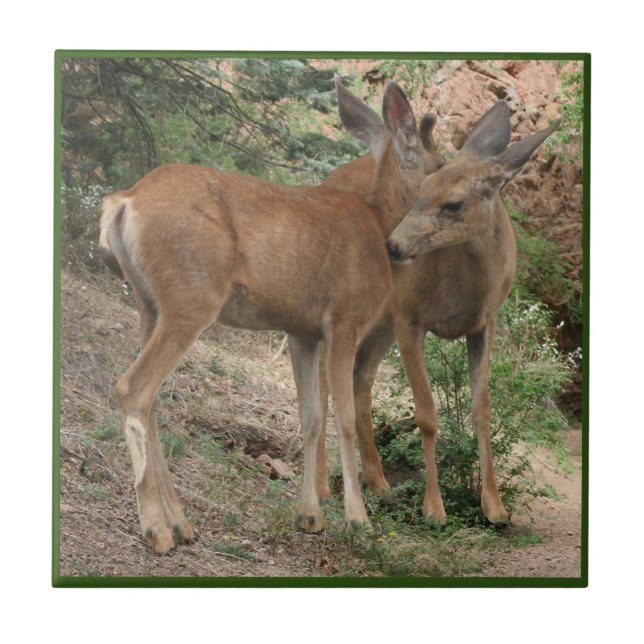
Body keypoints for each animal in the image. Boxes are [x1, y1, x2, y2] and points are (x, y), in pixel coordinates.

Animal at [98, 76, 444, 552]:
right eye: (441, 164)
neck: (379, 224)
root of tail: (124, 201)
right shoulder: (344, 319)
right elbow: (345, 417)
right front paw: (358, 519)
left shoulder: (302, 331)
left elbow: (311, 417)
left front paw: (311, 516)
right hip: (191, 299)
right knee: (133, 387)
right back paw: (156, 528)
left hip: (148, 303)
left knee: (149, 399)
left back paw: (182, 523)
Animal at [320, 97, 560, 525]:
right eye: (423, 188)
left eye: (453, 203)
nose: (393, 246)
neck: (465, 289)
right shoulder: (409, 318)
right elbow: (427, 414)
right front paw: (434, 507)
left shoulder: (485, 323)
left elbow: (482, 409)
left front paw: (494, 507)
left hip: (379, 322)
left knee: (360, 374)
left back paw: (378, 481)